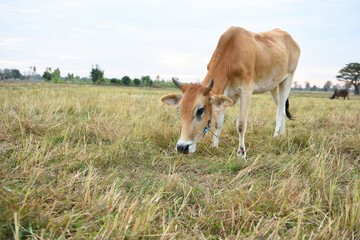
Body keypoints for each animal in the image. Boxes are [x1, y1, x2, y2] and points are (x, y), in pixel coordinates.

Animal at [160, 26, 300, 159]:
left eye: (200, 110)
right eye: (180, 109)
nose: (182, 147)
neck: (232, 55)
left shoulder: (246, 91)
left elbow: (241, 124)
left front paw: (241, 153)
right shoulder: (223, 94)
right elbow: (218, 123)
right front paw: (214, 146)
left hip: (288, 79)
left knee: (280, 111)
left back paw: (276, 136)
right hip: (274, 86)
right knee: (282, 109)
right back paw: (282, 135)